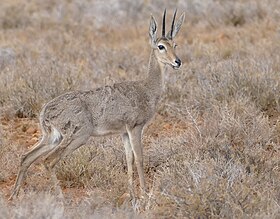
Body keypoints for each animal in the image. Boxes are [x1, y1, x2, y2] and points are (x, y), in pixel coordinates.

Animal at [9, 9, 185, 199]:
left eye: (175, 44)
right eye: (161, 46)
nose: (177, 61)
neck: (147, 88)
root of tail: (45, 112)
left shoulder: (124, 132)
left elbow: (129, 159)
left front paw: (131, 194)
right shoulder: (135, 127)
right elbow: (139, 158)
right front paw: (145, 193)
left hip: (52, 137)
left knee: (26, 156)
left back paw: (14, 195)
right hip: (77, 137)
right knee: (48, 161)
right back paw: (60, 198)